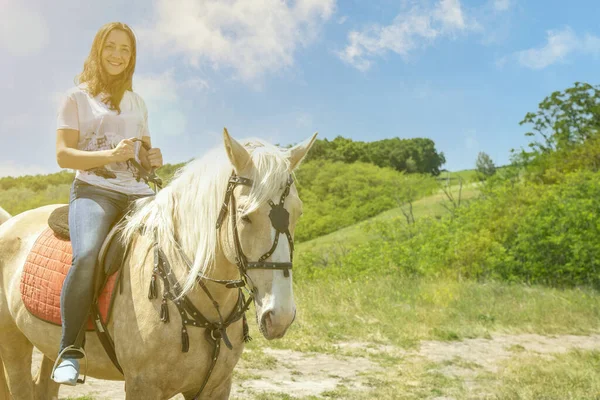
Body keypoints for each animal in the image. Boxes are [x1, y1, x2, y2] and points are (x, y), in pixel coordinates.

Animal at [0, 130, 318, 398]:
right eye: (245, 216)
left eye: (298, 212)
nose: (280, 317)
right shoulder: (143, 386)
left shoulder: (215, 387)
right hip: (13, 344)